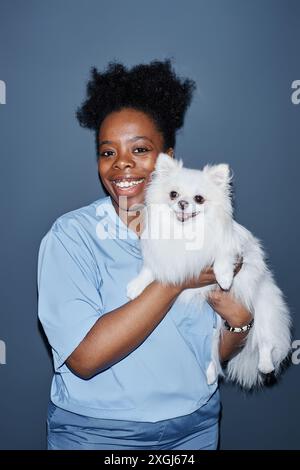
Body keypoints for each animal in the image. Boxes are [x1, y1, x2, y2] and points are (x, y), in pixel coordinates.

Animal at [126, 152, 290, 388]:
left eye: (199, 199)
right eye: (173, 194)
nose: (182, 203)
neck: (185, 232)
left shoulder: (232, 247)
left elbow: (221, 258)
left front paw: (224, 279)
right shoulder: (162, 257)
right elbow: (150, 270)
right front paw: (136, 286)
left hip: (262, 308)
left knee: (266, 341)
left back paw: (265, 364)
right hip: (218, 323)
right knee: (214, 350)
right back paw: (211, 373)